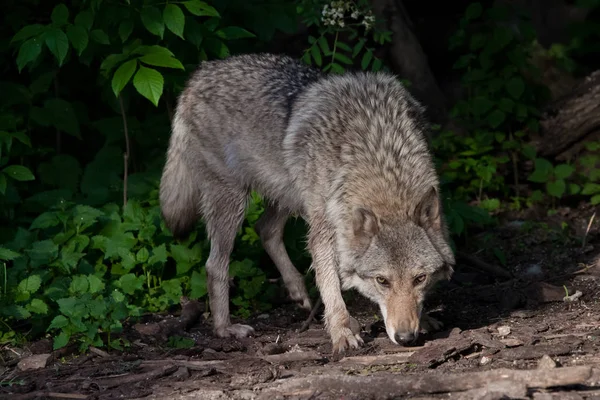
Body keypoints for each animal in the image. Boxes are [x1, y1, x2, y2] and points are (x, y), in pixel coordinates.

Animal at [159, 52, 454, 354]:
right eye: (382, 281)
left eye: (420, 278)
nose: (405, 338)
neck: (381, 154)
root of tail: (200, 73)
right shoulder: (323, 228)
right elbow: (331, 285)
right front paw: (342, 331)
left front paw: (424, 319)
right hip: (235, 201)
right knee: (214, 265)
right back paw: (224, 328)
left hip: (288, 195)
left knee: (265, 229)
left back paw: (297, 290)